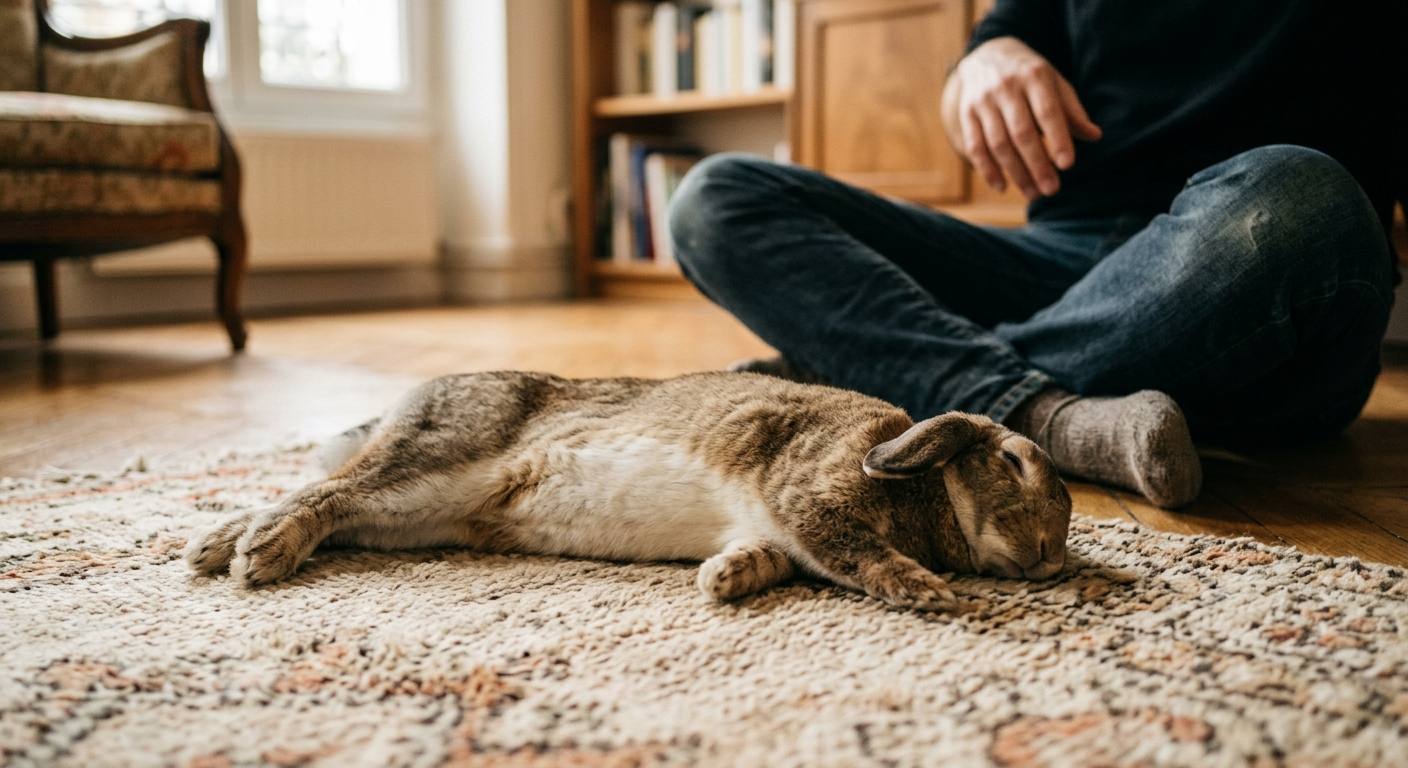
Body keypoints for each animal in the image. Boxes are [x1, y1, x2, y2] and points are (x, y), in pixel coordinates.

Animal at [185, 371, 1072, 611]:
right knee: (328, 496)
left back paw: (214, 544)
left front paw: (724, 580)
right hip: (433, 461)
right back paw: (259, 552)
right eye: (1014, 462)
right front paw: (929, 591)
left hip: (416, 516)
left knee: (339, 504)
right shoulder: (810, 492)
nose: (1051, 561)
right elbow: (853, 551)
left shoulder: (778, 527)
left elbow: (775, 556)